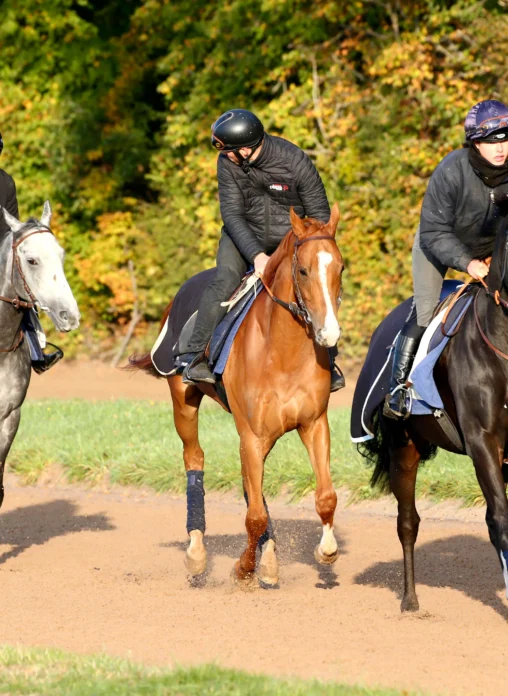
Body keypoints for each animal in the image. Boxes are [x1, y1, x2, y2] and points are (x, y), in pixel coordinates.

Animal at [131, 205, 346, 588]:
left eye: (340, 267)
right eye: (303, 270)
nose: (329, 333)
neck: (284, 353)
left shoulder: (313, 425)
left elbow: (325, 497)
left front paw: (325, 551)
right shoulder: (252, 434)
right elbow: (255, 516)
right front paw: (244, 568)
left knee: (251, 486)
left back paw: (269, 558)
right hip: (184, 403)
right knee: (195, 458)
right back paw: (197, 552)